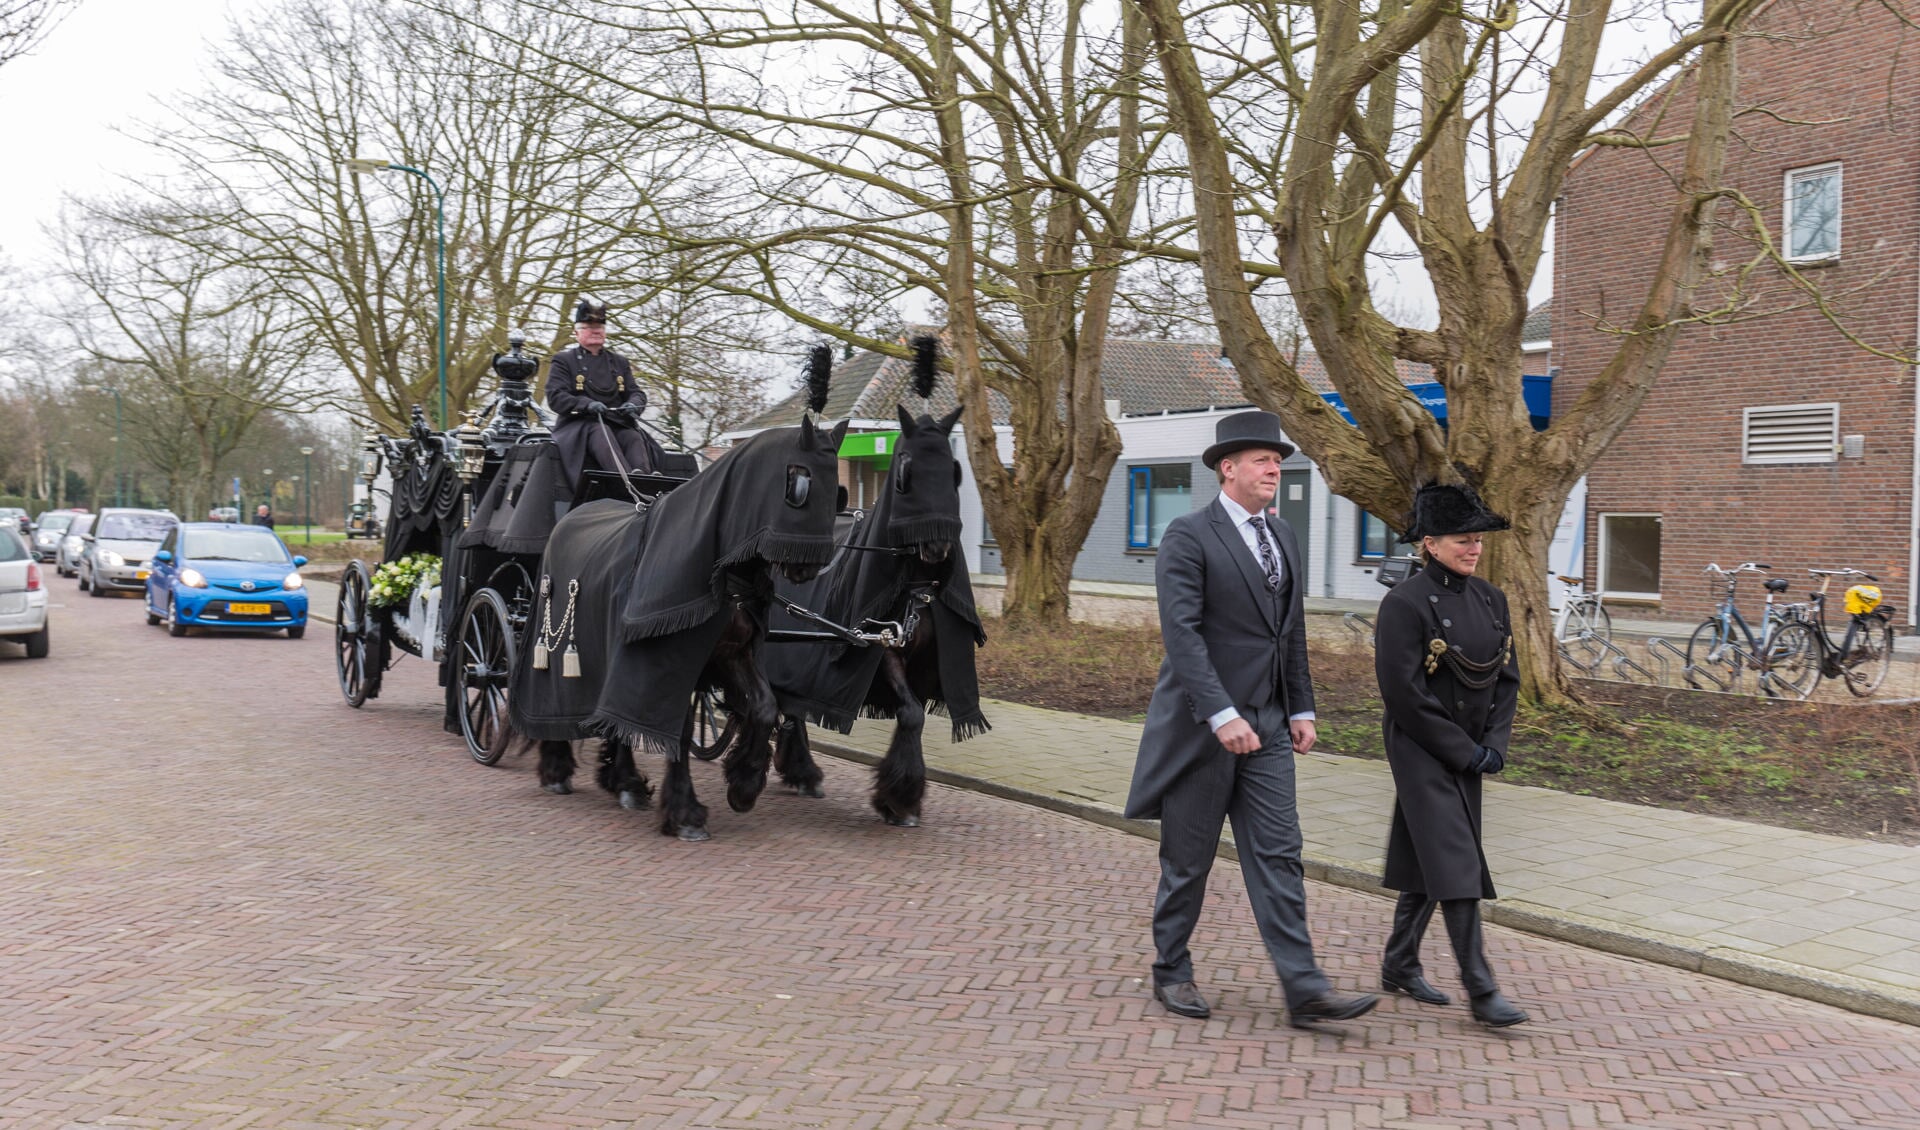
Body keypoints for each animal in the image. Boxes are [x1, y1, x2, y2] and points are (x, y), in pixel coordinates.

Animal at [506, 414, 844, 836]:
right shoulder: (669, 662)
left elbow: (765, 708)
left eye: (837, 491)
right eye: (800, 485)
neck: (719, 568)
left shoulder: (733, 654)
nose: (811, 566)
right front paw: (685, 813)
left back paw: (624, 782)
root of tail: (572, 515)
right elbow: (676, 732)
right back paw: (560, 770)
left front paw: (744, 785)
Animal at [760, 400, 990, 824]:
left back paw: (800, 771)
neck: (916, 590)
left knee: (791, 704)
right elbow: (912, 713)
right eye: (904, 472)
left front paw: (901, 799)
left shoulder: (923, 662)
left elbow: (914, 714)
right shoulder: (879, 647)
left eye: (955, 471)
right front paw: (899, 797)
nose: (937, 547)